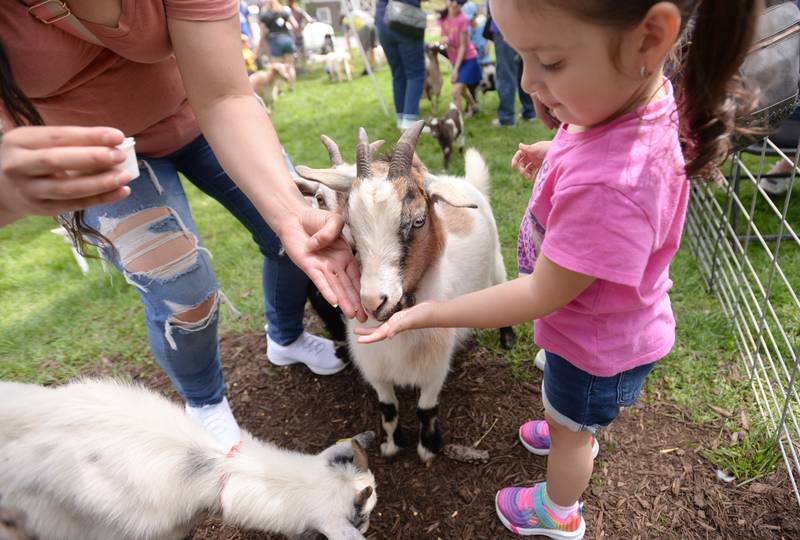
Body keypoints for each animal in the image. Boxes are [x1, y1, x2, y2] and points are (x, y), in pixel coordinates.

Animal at [296, 122, 516, 464]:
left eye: (418, 221)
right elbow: (388, 408)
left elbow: (426, 409)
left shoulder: (435, 368)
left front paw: (428, 448)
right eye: (349, 225)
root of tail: (458, 181)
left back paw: (506, 336)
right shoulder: (376, 368)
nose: (374, 301)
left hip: (496, 264)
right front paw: (391, 445)